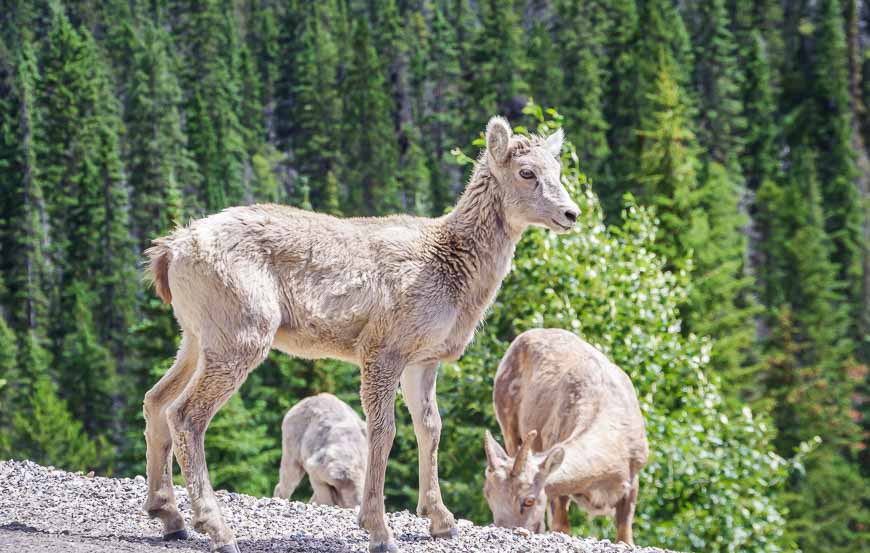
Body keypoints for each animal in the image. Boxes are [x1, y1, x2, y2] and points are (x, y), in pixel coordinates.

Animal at [141, 116, 580, 552]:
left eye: (558, 170)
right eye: (527, 172)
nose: (571, 213)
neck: (451, 269)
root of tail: (170, 251)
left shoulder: (423, 359)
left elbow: (430, 427)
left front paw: (441, 521)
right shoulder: (382, 350)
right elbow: (384, 432)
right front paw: (379, 531)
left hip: (196, 337)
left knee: (156, 400)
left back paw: (169, 518)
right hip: (241, 334)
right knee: (186, 416)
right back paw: (217, 530)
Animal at [484, 328, 648, 544]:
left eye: (529, 500)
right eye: (488, 496)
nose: (507, 529)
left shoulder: (633, 478)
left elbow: (625, 536)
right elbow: (561, 526)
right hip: (507, 423)